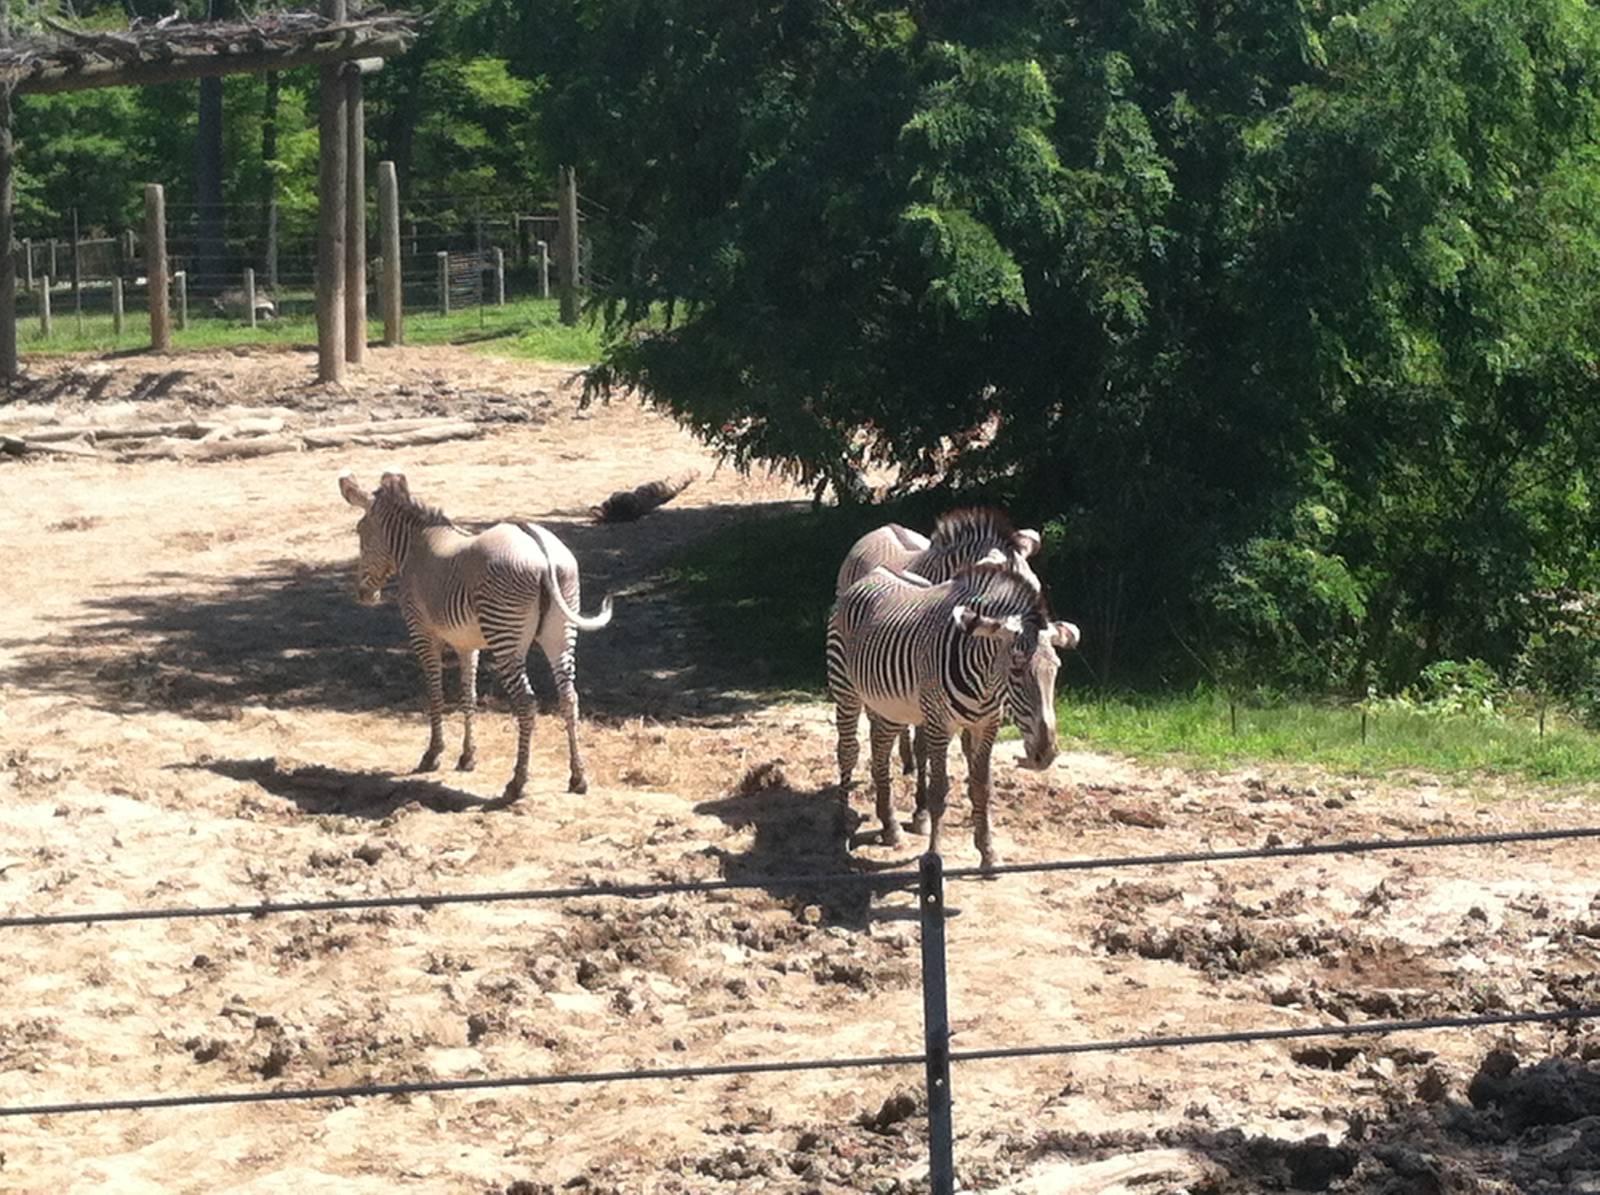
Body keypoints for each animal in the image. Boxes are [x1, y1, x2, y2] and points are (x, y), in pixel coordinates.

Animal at [338, 470, 613, 801]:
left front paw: (433, 754)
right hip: (560, 630)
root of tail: (539, 547)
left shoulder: (422, 632)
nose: (364, 595)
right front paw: (467, 757)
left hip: (505, 635)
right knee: (569, 697)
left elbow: (435, 692)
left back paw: (517, 782)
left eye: (359, 532)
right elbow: (468, 694)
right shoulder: (467, 643)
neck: (416, 547)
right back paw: (578, 777)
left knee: (526, 702)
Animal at [827, 561, 1080, 870]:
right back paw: (841, 826)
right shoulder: (939, 723)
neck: (986, 683)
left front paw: (988, 853)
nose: (1045, 753)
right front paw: (934, 855)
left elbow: (981, 787)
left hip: (889, 705)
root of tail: (875, 572)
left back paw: (890, 827)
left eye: (1055, 669)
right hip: (845, 686)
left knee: (880, 753)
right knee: (848, 750)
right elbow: (938, 791)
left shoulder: (987, 724)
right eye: (1017, 668)